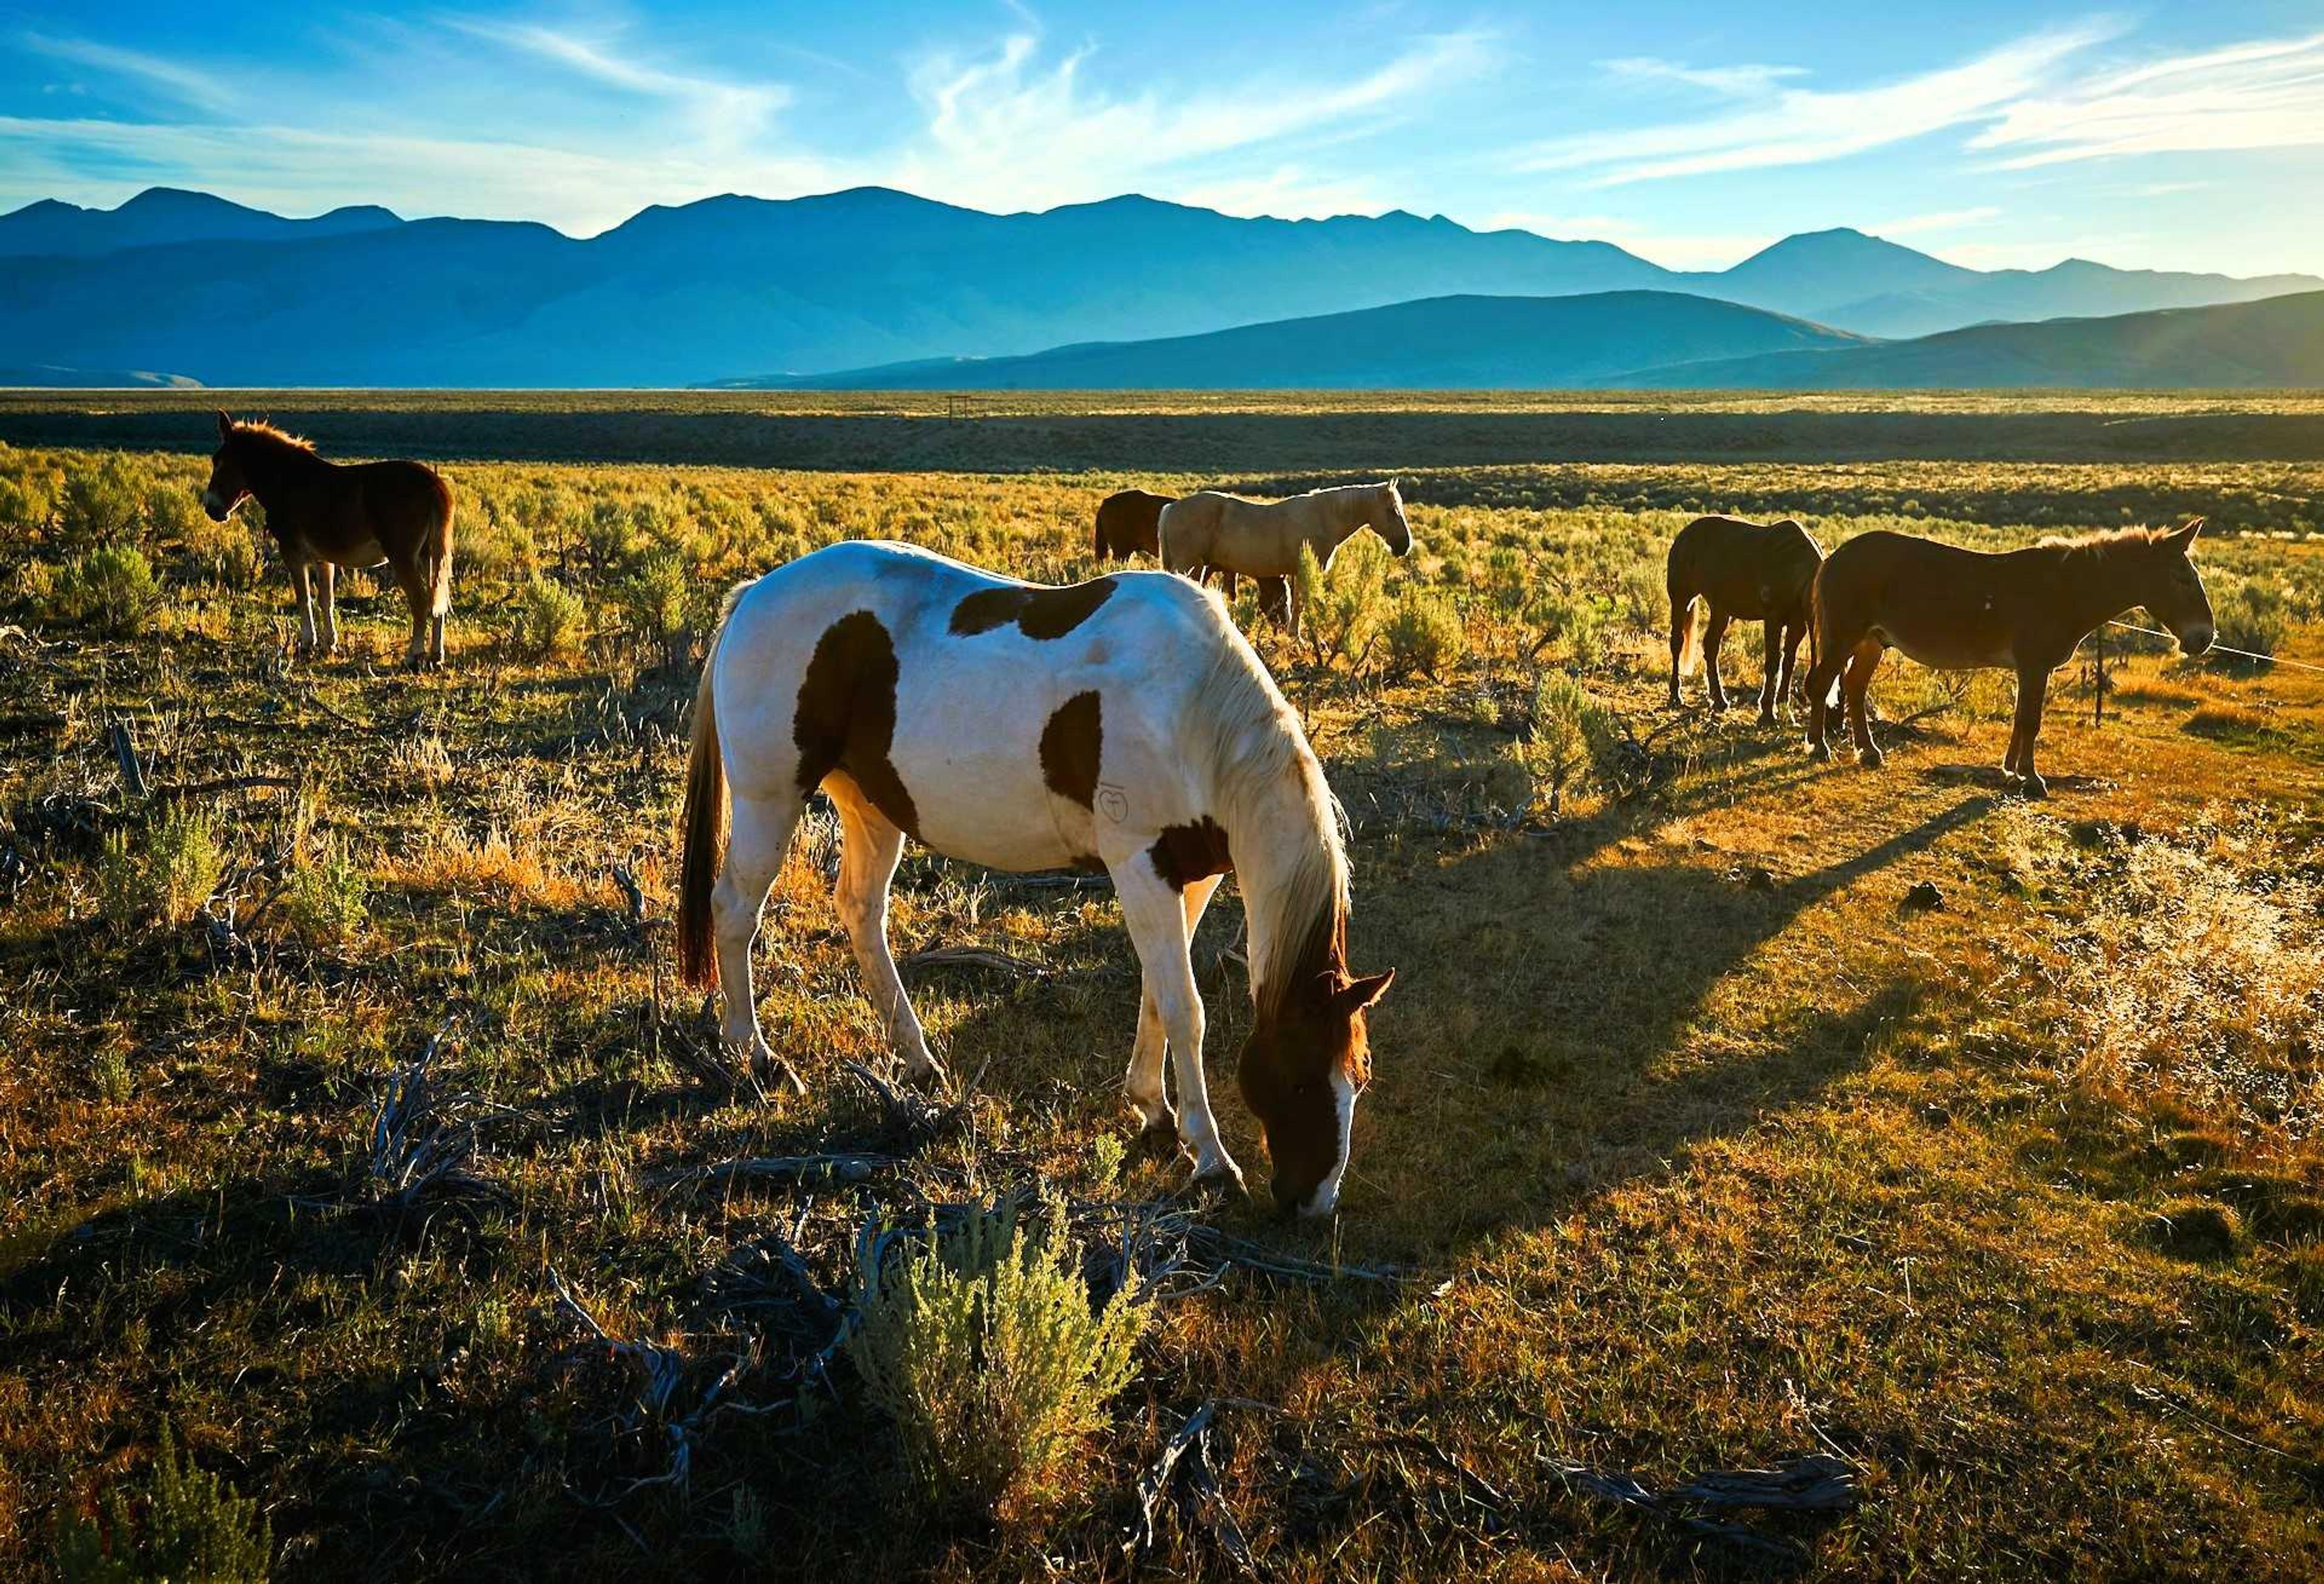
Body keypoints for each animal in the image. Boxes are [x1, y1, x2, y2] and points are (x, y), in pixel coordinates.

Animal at [205, 411, 458, 664]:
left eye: (219, 462)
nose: (211, 509)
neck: (289, 481)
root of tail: (434, 484)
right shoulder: (323, 558)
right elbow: (326, 599)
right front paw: (330, 645)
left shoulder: (292, 552)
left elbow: (304, 597)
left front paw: (307, 643)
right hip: (428, 556)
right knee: (438, 600)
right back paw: (437, 655)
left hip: (403, 557)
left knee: (421, 601)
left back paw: (414, 655)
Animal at [678, 536, 1394, 1217]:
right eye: (1299, 1076)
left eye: (1358, 1076)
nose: (1313, 1203)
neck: (1191, 708)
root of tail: (754, 594)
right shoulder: (1139, 865)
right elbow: (1185, 1010)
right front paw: (1213, 1158)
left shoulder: (1191, 879)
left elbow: (1157, 995)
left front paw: (1154, 1111)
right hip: (771, 798)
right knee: (735, 911)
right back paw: (758, 1058)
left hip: (870, 806)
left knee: (860, 912)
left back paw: (918, 1061)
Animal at [1162, 478, 1413, 632]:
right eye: (1392, 510)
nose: (1405, 545)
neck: (1324, 517)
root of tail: (1171, 509)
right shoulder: (1304, 571)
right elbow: (1302, 604)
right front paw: (1299, 638)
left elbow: (1295, 604)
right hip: (1190, 566)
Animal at [1664, 511, 1822, 720]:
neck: (1794, 568)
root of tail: (1684, 535)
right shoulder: (1773, 620)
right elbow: (1773, 662)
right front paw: (1767, 713)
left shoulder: (1798, 625)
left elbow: (1788, 662)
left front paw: (1783, 706)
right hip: (1682, 599)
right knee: (1677, 642)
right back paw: (1676, 695)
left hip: (1721, 610)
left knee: (1711, 646)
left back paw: (1720, 701)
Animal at [1794, 515, 2212, 790]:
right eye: (2182, 578)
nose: (2204, 639)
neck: (2067, 588)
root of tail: (1834, 557)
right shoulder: (2034, 665)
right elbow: (2030, 720)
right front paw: (2031, 777)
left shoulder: (2031, 669)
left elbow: (2020, 718)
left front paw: (2010, 770)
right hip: (1845, 635)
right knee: (1821, 684)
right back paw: (1819, 746)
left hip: (1872, 641)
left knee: (1853, 687)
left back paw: (1867, 751)